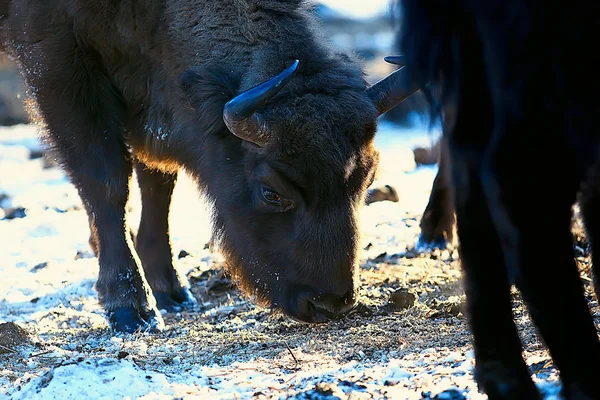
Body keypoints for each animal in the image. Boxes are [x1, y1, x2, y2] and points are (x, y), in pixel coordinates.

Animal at [0, 0, 418, 332]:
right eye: (271, 192)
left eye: (368, 178)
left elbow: (159, 184)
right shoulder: (56, 61)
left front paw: (170, 290)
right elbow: (107, 182)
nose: (329, 303)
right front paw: (132, 309)